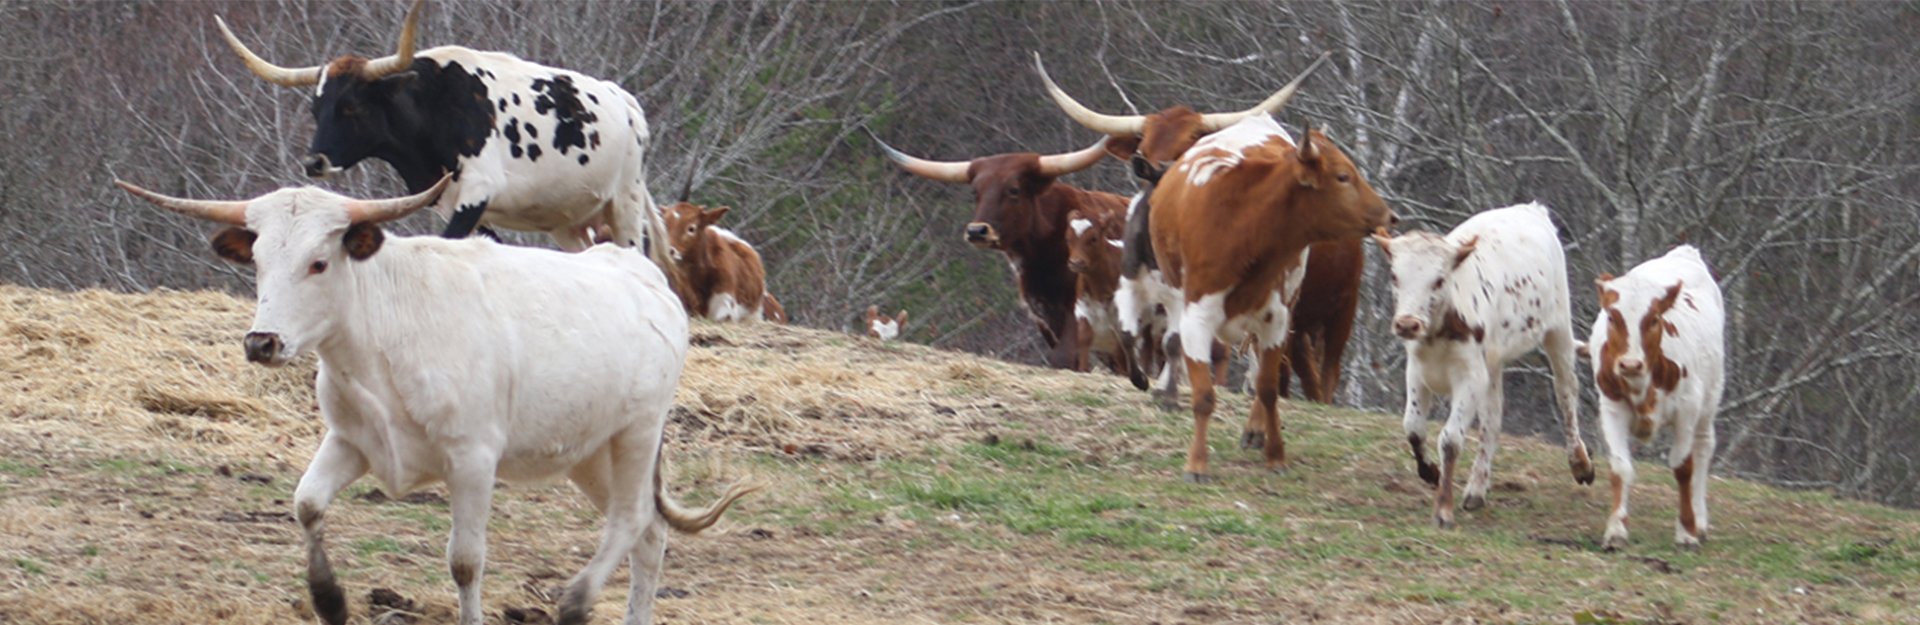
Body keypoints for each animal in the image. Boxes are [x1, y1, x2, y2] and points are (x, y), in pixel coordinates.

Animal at [1374, 204, 1597, 529]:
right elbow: (1413, 428)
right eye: (1394, 276)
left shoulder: (1470, 377)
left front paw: (1443, 510)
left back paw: (1580, 463)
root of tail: (1531, 207)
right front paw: (1430, 473)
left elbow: (1451, 439)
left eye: (1439, 280)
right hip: (1492, 363)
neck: (1441, 329)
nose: (1407, 324)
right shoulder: (1417, 370)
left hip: (1558, 329)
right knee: (1493, 416)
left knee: (1566, 391)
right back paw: (1477, 489)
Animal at [1589, 244, 1728, 548]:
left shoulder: (1687, 410)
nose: (1630, 364)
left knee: (1704, 448)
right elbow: (1620, 467)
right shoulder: (1611, 409)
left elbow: (1683, 467)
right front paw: (1615, 529)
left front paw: (1686, 530)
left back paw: (1700, 521)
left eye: (1653, 319)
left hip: (1709, 400)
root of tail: (1684, 252)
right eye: (1612, 317)